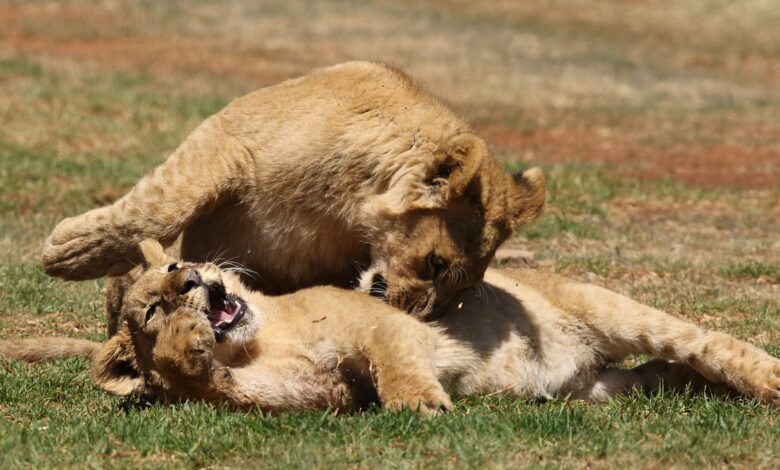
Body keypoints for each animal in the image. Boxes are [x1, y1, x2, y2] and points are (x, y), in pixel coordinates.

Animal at [40, 61, 546, 322]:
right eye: (435, 263)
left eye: (463, 288)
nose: (418, 318)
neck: (349, 203)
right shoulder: (229, 139)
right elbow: (162, 204)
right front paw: (65, 253)